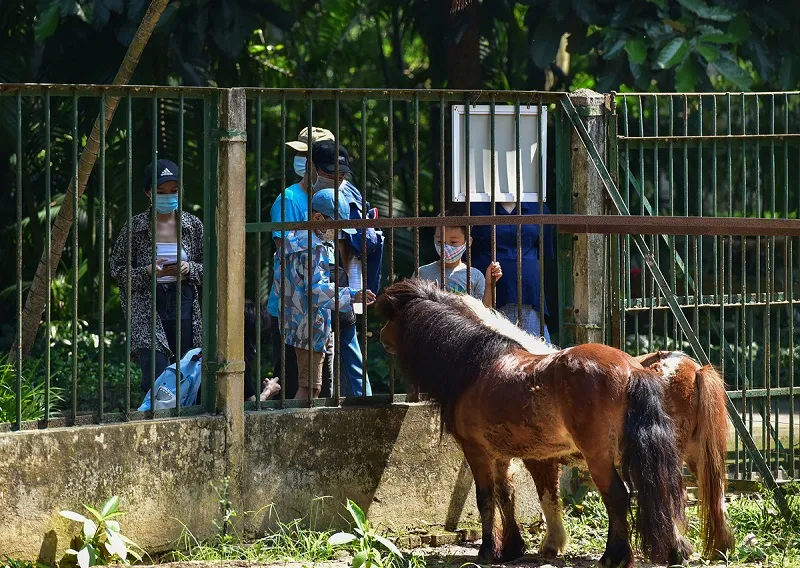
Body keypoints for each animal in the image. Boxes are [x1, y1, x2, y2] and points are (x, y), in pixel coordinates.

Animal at [380, 280, 688, 568]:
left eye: (391, 318)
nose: (381, 337)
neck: (474, 366)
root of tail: (633, 369)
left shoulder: (476, 451)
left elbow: (485, 498)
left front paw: (488, 551)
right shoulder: (502, 455)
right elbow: (506, 494)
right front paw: (511, 548)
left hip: (599, 456)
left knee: (618, 495)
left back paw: (614, 556)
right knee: (660, 488)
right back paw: (674, 551)